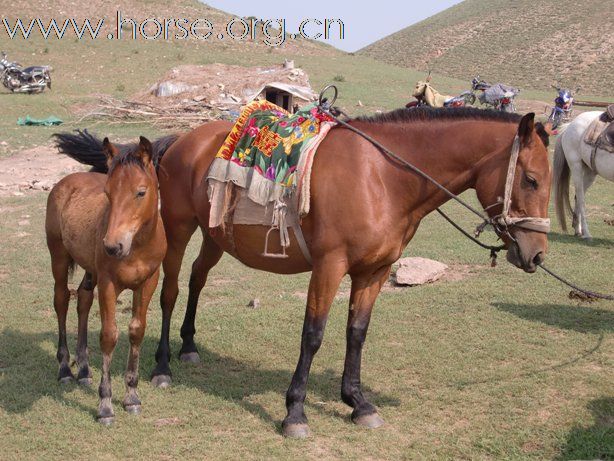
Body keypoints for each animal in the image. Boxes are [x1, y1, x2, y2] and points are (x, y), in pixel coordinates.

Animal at [45, 136, 168, 424]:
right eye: (108, 193)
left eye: (141, 192)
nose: (113, 246)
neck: (137, 247)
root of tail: (65, 182)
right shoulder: (109, 284)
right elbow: (109, 335)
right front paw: (105, 405)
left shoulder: (148, 282)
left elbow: (136, 331)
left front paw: (132, 397)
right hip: (59, 258)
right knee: (62, 300)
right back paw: (65, 369)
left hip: (90, 271)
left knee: (83, 299)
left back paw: (84, 371)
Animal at [62, 107, 552, 434]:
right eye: (531, 179)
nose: (536, 254)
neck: (382, 177)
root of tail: (182, 140)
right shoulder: (330, 266)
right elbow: (313, 335)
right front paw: (295, 410)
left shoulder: (374, 272)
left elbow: (357, 333)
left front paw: (358, 402)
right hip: (180, 232)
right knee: (170, 293)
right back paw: (163, 364)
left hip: (215, 235)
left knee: (198, 280)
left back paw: (188, 345)